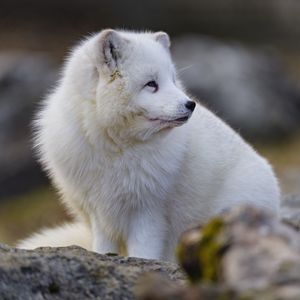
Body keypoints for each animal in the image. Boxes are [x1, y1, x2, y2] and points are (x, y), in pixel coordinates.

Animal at [19, 29, 282, 262]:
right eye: (151, 84)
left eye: (173, 80)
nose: (190, 105)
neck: (115, 150)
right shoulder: (99, 213)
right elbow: (103, 249)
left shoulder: (149, 212)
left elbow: (144, 254)